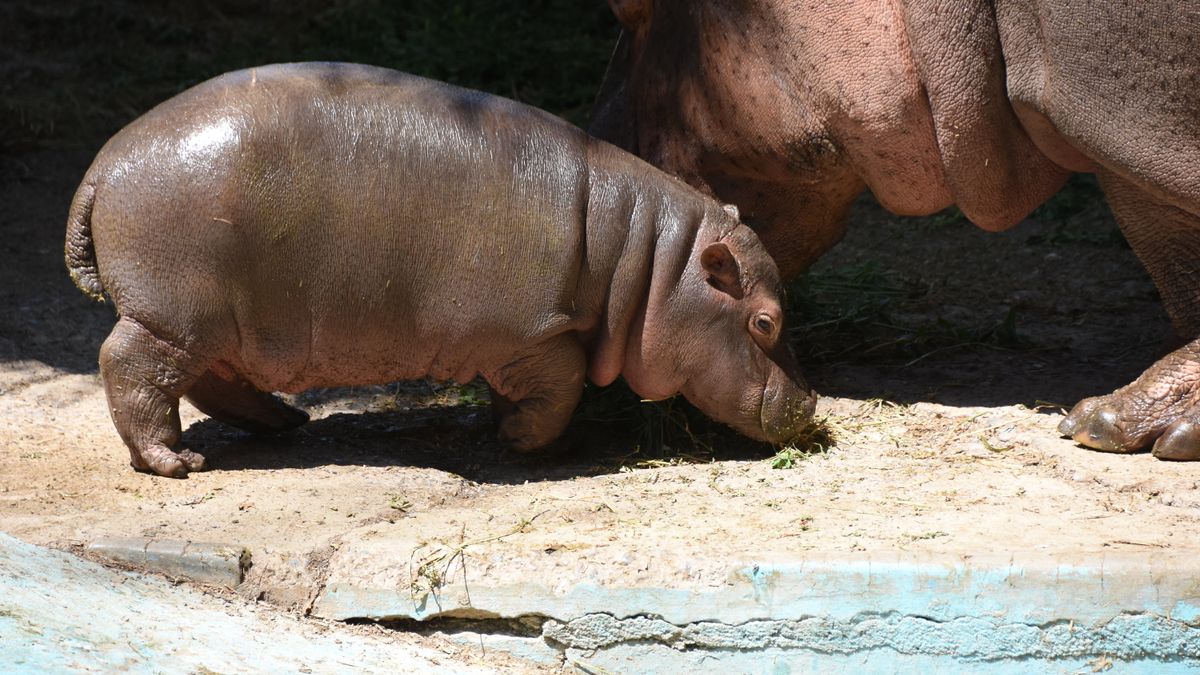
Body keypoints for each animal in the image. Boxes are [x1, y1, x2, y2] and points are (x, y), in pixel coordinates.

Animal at [65, 62, 814, 478]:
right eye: (766, 321)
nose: (811, 404)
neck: (649, 261)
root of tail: (100, 167)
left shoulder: (523, 342)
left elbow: (533, 389)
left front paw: (504, 428)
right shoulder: (532, 332)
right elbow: (561, 386)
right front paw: (518, 440)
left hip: (223, 322)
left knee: (213, 381)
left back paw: (287, 423)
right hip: (173, 315)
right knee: (130, 366)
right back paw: (176, 464)